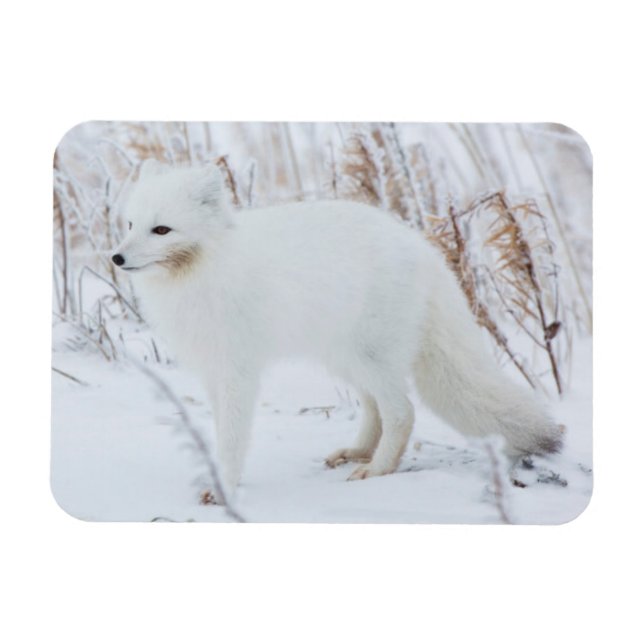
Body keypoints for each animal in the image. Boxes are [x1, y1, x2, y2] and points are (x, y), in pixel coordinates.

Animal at [112, 160, 563, 499]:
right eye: (131, 224)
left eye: (161, 230)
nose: (116, 258)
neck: (204, 269)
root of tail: (423, 249)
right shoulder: (213, 371)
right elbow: (222, 429)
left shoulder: (239, 371)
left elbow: (234, 436)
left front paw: (225, 485)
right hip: (344, 358)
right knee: (375, 409)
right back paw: (358, 452)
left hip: (370, 356)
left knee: (402, 411)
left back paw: (377, 470)